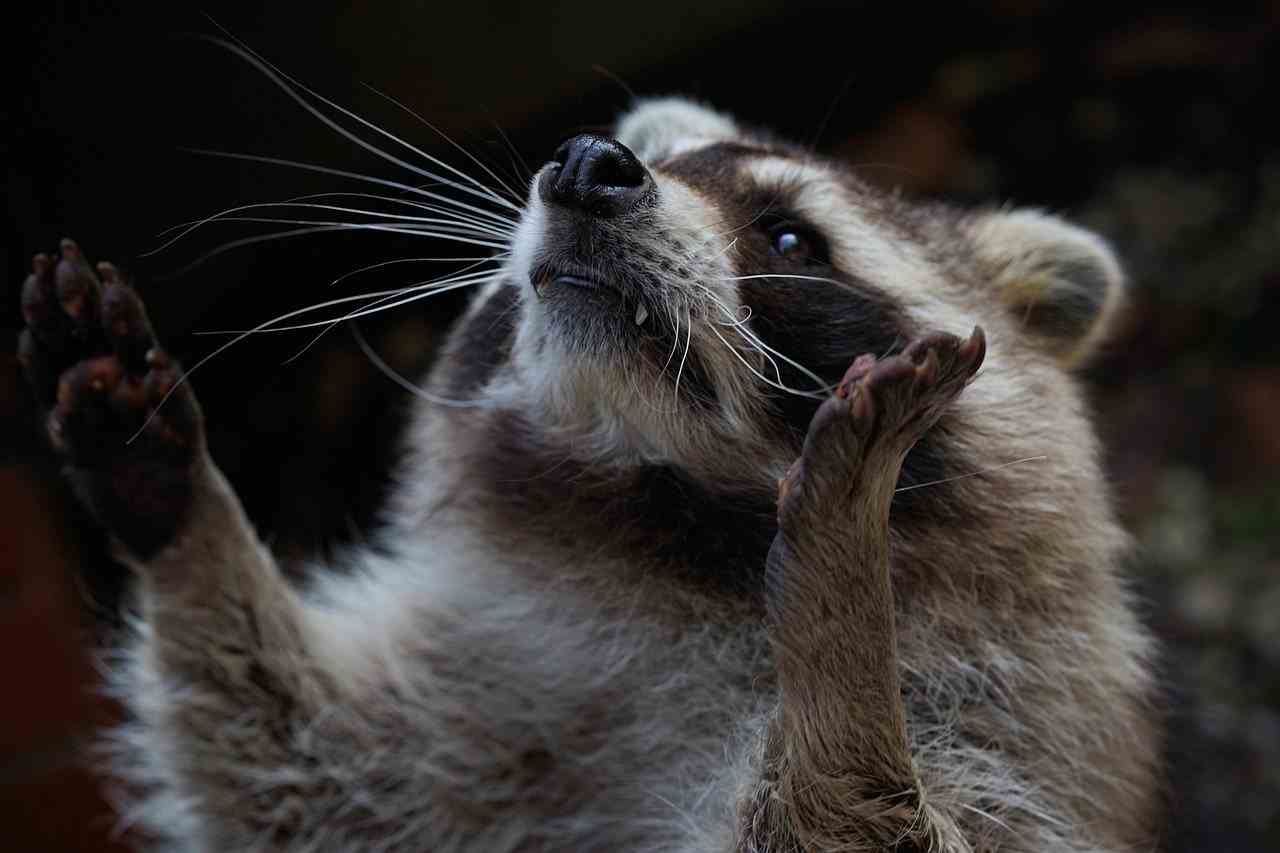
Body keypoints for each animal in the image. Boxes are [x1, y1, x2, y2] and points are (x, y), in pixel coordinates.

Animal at [20, 96, 1162, 845]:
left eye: (791, 236)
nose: (585, 163)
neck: (670, 535)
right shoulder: (487, 720)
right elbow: (302, 775)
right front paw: (179, 509)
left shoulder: (1016, 738)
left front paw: (839, 625)